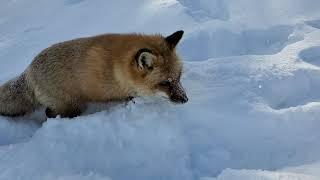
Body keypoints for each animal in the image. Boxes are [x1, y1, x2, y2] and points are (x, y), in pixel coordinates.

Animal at [0, 30, 189, 119]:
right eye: (165, 83)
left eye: (178, 77)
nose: (185, 100)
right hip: (72, 106)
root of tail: (29, 70)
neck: (117, 67)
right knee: (49, 114)